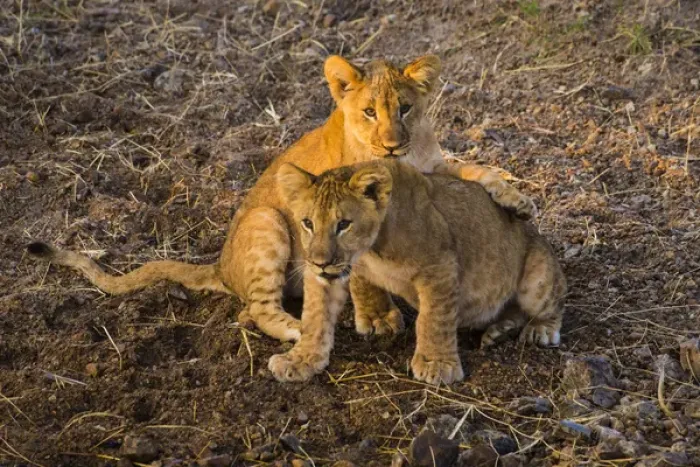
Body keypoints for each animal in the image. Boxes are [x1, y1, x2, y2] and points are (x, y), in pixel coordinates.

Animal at [28, 55, 536, 343]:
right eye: (369, 112)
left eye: (405, 108)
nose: (391, 145)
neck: (405, 157)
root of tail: (219, 266)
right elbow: (361, 274)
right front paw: (377, 318)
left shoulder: (432, 168)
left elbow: (474, 168)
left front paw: (514, 196)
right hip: (266, 221)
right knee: (256, 306)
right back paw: (295, 328)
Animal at [269, 159, 566, 384]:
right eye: (307, 223)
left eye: (344, 224)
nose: (320, 262)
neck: (370, 250)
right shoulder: (325, 275)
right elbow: (315, 317)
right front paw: (300, 360)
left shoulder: (440, 266)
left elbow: (433, 318)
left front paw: (437, 364)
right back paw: (498, 332)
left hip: (537, 276)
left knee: (552, 304)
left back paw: (539, 330)